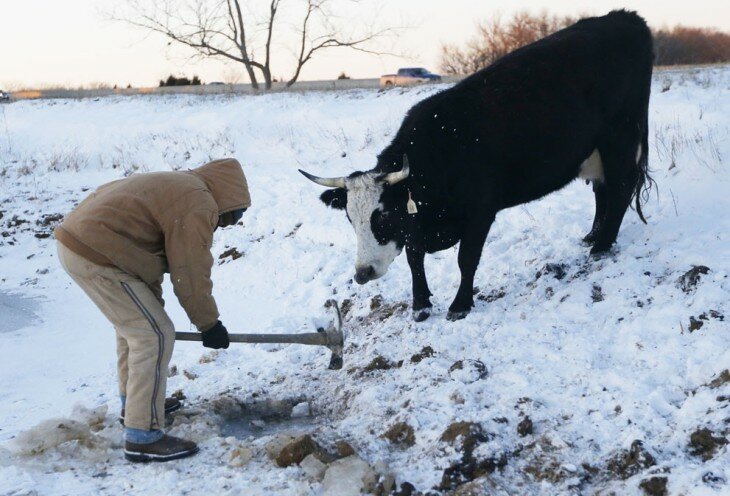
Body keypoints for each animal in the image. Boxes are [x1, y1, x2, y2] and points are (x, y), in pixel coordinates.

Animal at [302, 10, 656, 322]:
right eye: (350, 219)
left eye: (384, 217)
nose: (363, 273)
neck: (441, 151)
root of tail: (626, 17)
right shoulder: (418, 224)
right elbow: (415, 259)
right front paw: (420, 305)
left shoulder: (481, 210)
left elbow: (466, 258)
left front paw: (460, 305)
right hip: (596, 150)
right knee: (602, 189)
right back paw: (592, 235)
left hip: (620, 138)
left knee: (620, 188)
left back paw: (602, 245)